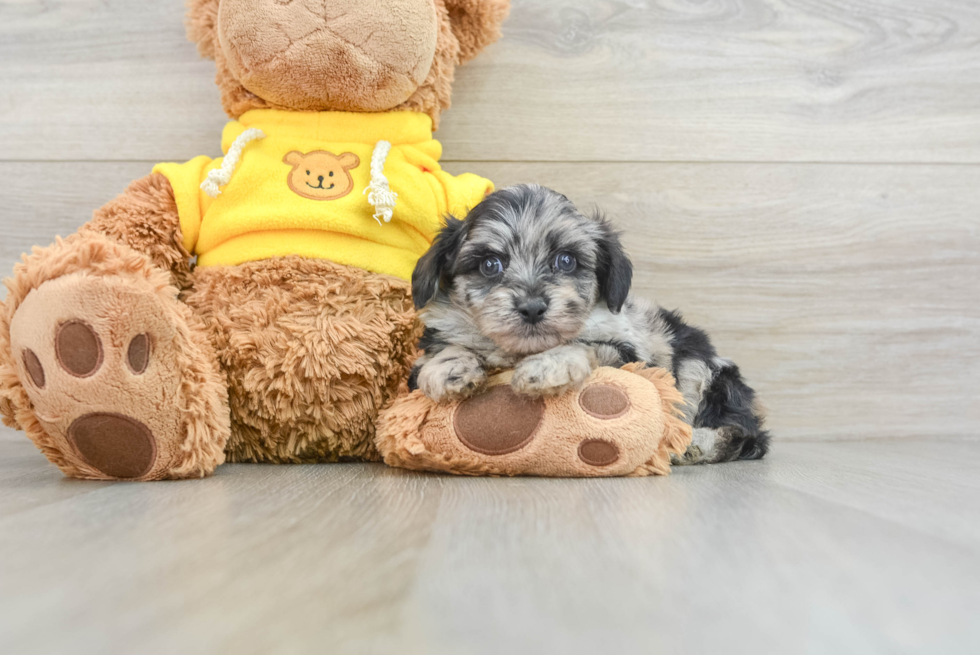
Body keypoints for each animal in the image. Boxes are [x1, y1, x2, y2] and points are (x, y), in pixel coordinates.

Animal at [410, 182, 768, 464]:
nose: (532, 308)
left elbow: (585, 344)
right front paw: (450, 368)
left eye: (566, 260)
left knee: (745, 434)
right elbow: (445, 350)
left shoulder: (630, 354)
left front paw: (548, 367)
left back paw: (693, 444)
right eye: (489, 265)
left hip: (700, 370)